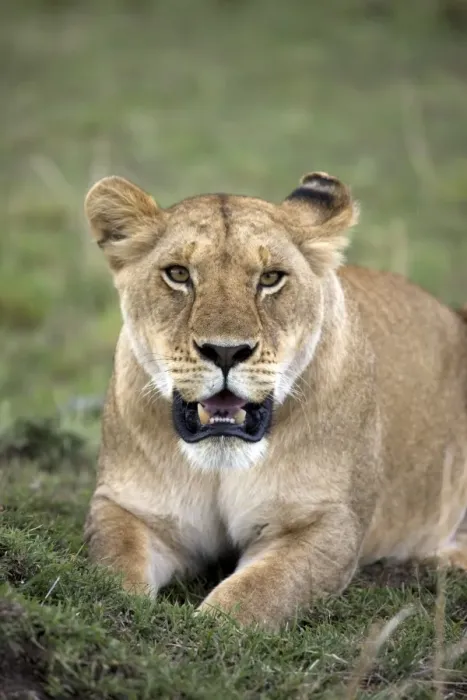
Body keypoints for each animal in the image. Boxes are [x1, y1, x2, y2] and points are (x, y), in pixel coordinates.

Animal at [83, 172, 467, 630]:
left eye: (270, 278)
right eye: (178, 274)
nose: (226, 351)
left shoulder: (326, 524)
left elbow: (253, 595)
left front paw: (205, 626)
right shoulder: (129, 507)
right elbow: (113, 571)